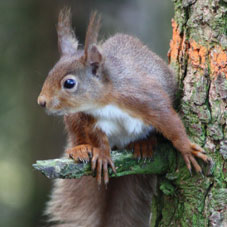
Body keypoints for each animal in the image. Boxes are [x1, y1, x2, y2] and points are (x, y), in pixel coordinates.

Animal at [37, 8, 211, 227]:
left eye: (69, 83)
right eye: (50, 72)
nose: (41, 101)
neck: (104, 102)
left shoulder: (147, 99)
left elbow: (170, 123)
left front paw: (187, 149)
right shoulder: (90, 119)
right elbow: (98, 138)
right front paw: (102, 155)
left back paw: (144, 144)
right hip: (73, 117)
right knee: (78, 134)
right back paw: (81, 148)